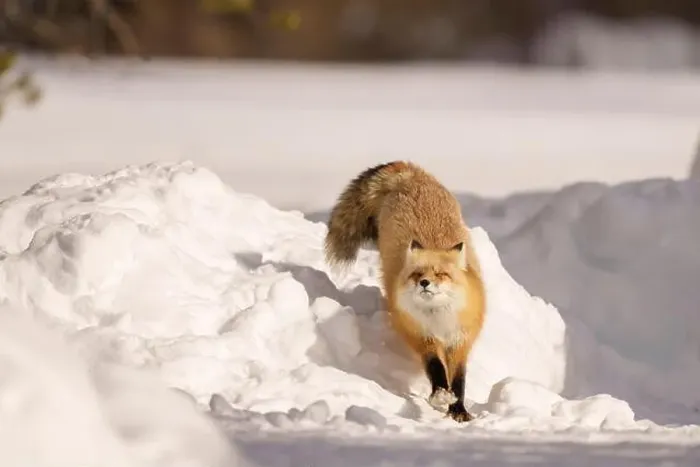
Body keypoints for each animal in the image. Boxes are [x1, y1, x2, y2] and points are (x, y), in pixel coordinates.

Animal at [324, 161, 486, 422]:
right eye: (417, 274)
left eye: (441, 274)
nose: (425, 283)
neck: (439, 319)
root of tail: (410, 172)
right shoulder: (421, 336)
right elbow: (436, 368)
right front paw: (440, 396)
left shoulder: (460, 339)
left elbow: (458, 379)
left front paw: (458, 410)